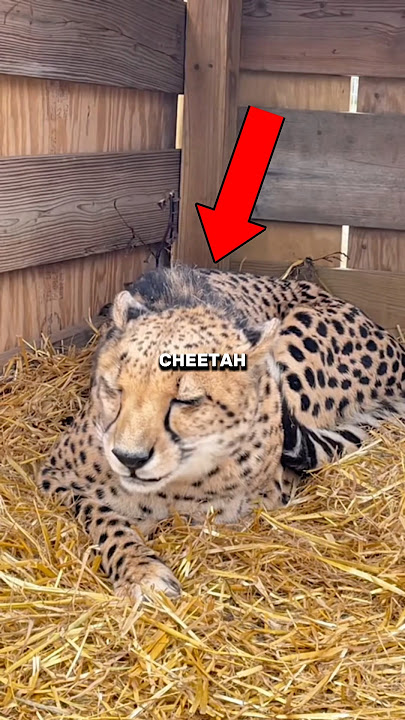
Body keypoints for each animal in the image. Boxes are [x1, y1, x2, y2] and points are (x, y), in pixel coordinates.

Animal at [38, 264, 405, 601]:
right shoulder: (55, 476)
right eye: (116, 389)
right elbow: (103, 517)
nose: (129, 458)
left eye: (186, 400)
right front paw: (140, 571)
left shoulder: (264, 495)